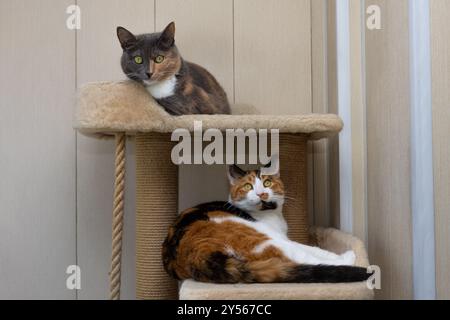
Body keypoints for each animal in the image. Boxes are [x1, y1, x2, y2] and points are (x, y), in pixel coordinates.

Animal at [163, 164, 370, 284]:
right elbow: (313, 249)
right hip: (262, 239)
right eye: (248, 186)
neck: (269, 214)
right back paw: (350, 259)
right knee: (298, 256)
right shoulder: (279, 237)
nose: (261, 193)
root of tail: (195, 257)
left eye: (268, 182)